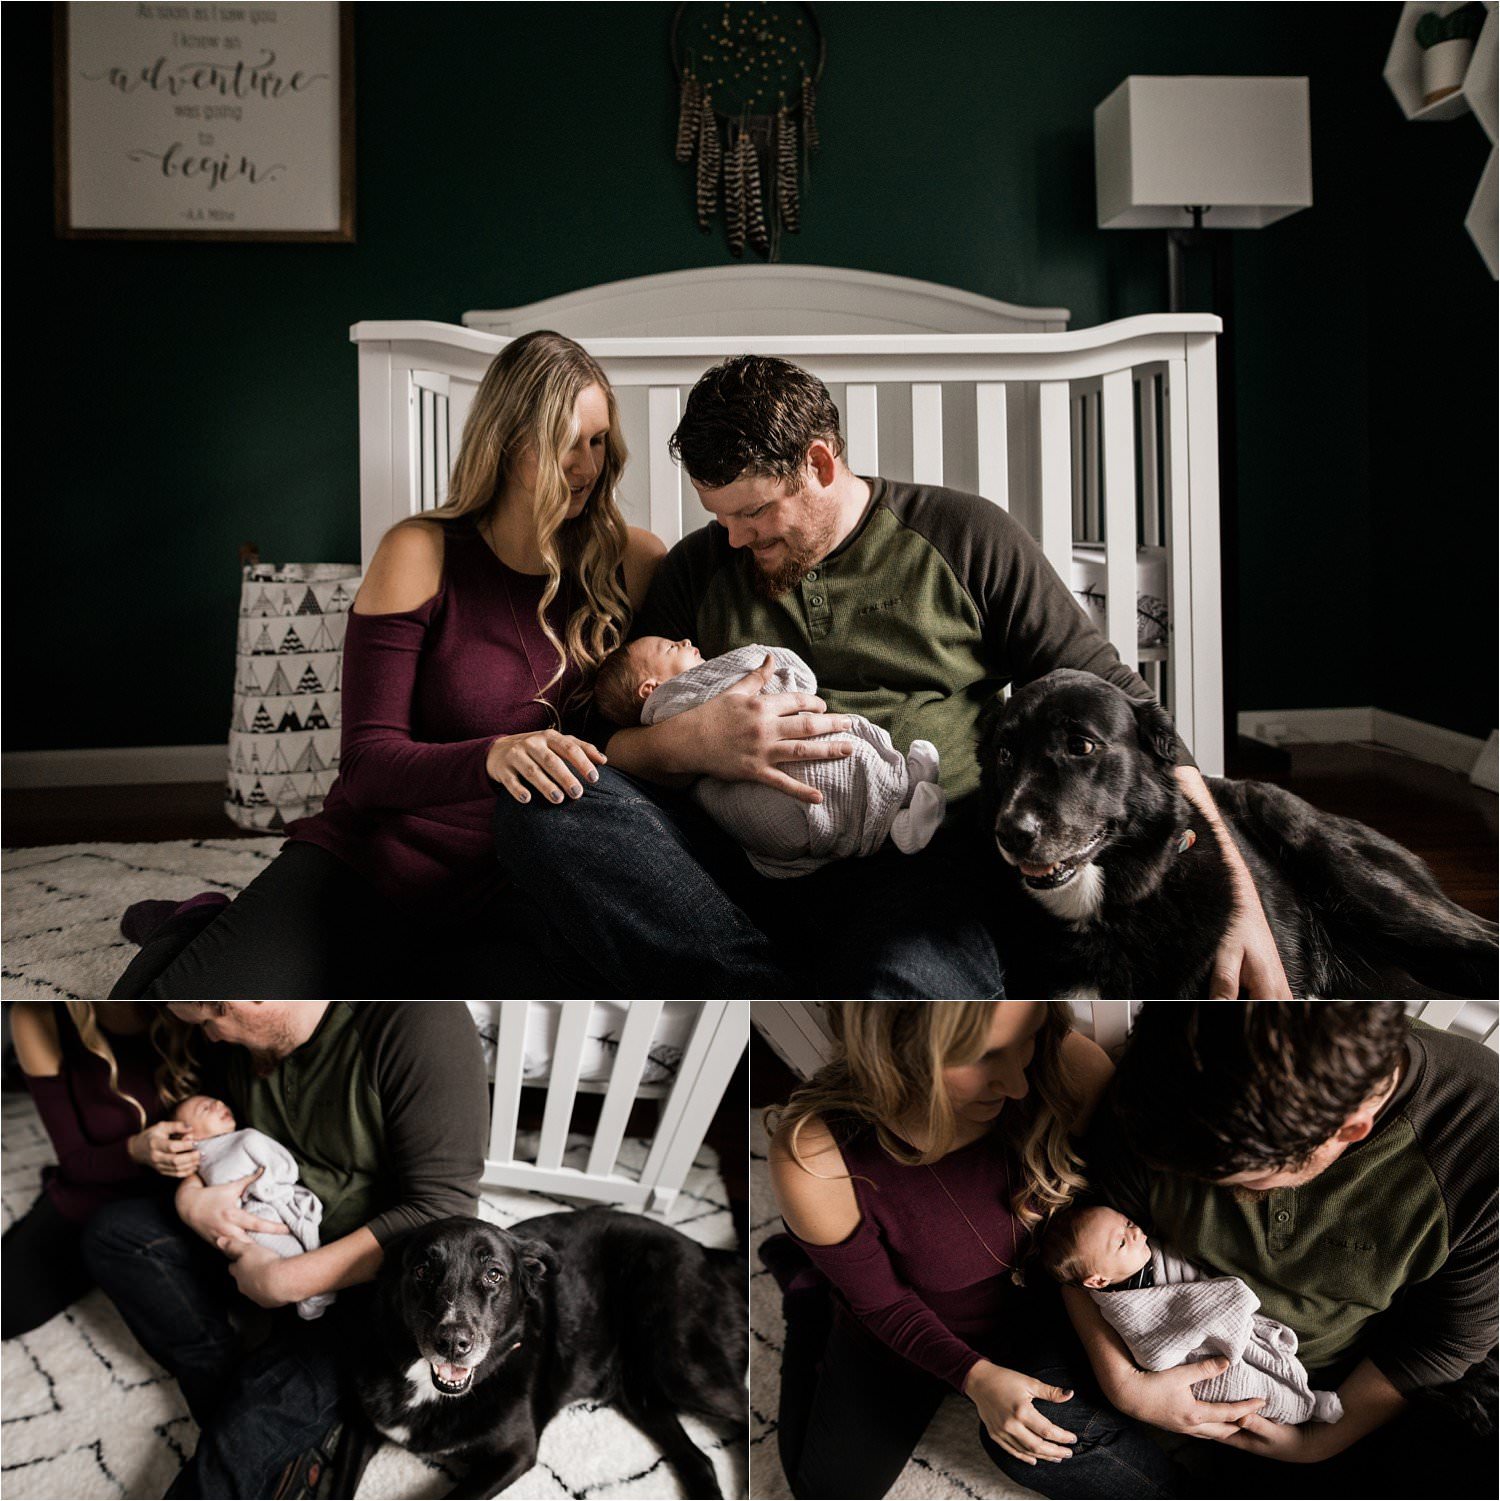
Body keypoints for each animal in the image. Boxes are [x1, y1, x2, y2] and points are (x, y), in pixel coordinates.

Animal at [351, 1206, 750, 1501]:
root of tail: (705, 1251)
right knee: (700, 1460)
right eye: (422, 1270)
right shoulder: (360, 1428)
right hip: (642, 1394)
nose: (451, 1342)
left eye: (494, 1275)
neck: (428, 1388)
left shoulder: (515, 1454)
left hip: (683, 1366)